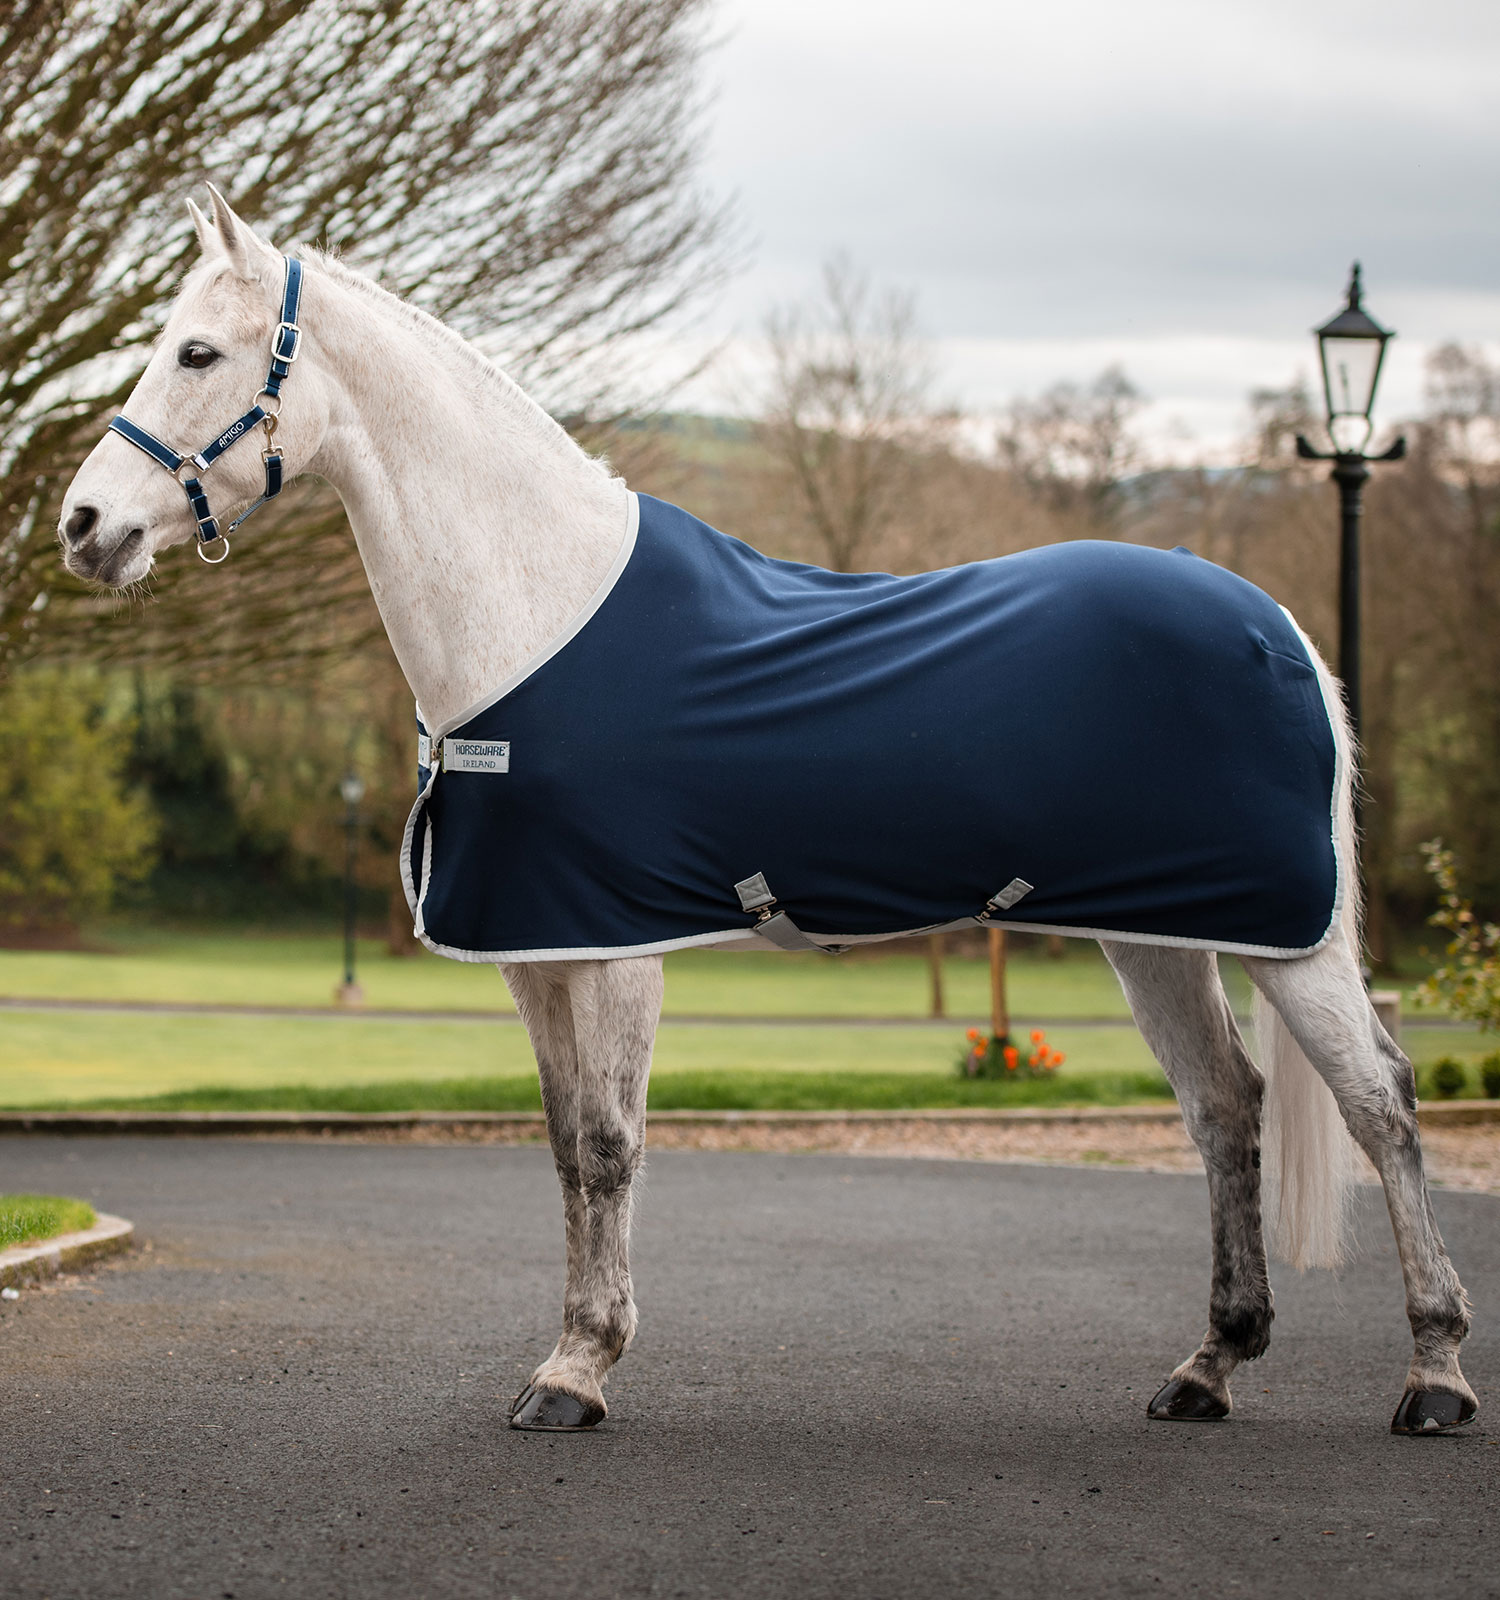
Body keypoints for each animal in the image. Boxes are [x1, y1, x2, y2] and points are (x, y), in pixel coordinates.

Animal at [59, 187, 1475, 1437]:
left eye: (197, 350)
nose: (83, 525)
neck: (538, 608)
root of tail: (1279, 625)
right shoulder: (538, 950)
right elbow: (564, 1150)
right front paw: (567, 1351)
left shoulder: (616, 944)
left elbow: (611, 1145)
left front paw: (580, 1371)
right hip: (1159, 936)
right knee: (1227, 1107)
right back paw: (1210, 1367)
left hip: (1292, 938)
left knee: (1383, 1103)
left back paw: (1436, 1376)